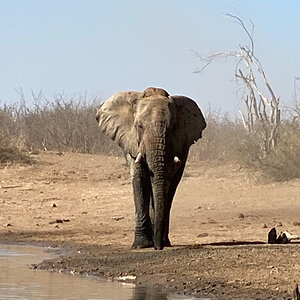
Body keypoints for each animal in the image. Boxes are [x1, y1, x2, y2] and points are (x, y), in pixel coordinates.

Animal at [96, 87, 206, 251]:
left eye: (172, 128)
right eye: (139, 126)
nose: (157, 248)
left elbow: (166, 181)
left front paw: (155, 242)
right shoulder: (132, 142)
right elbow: (140, 178)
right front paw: (141, 245)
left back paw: (163, 240)